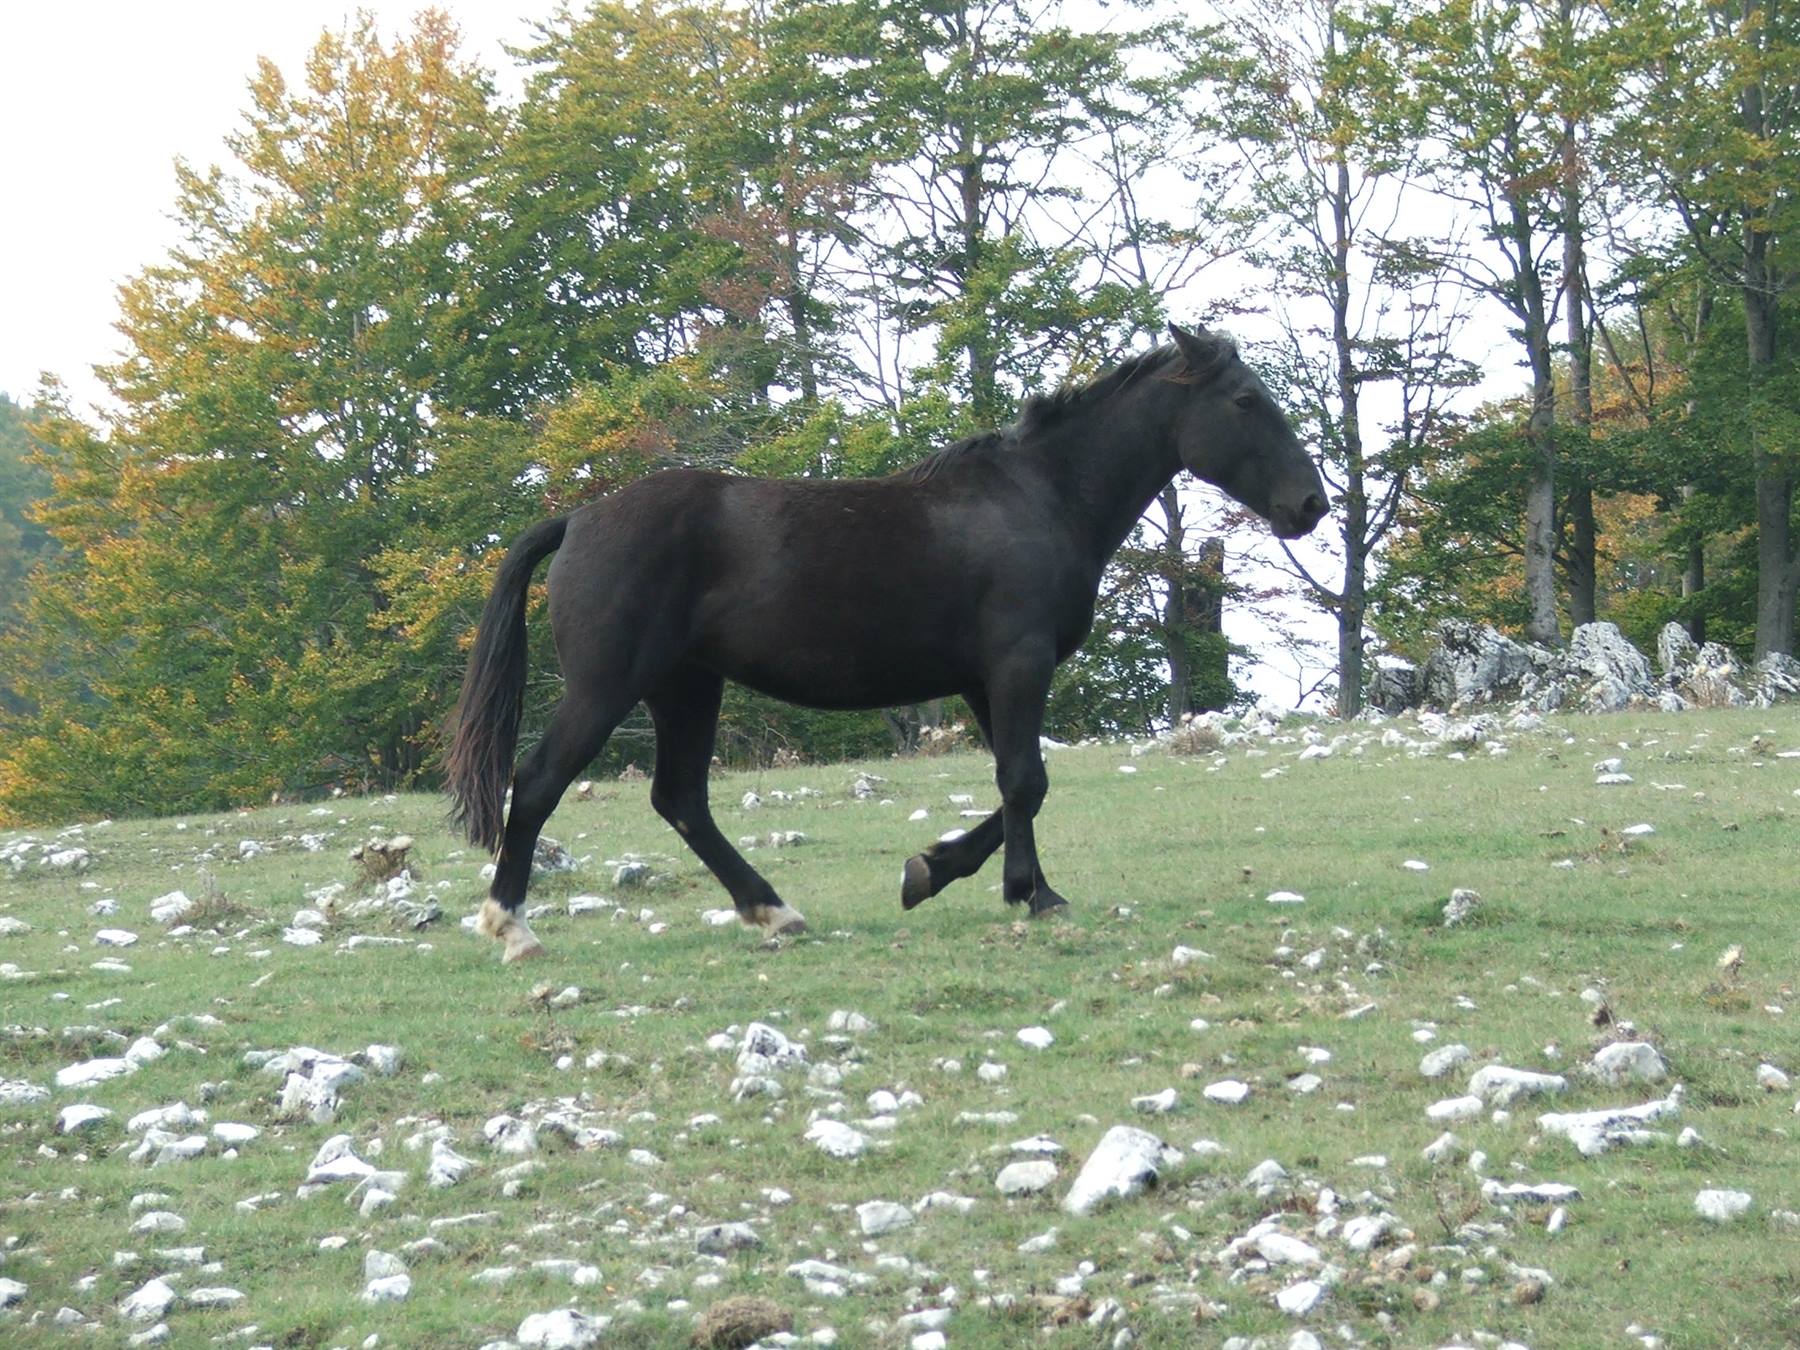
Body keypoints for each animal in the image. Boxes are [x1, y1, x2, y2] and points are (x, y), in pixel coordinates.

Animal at [446, 324, 1328, 961]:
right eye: (1246, 400)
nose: (1311, 504)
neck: (1038, 499)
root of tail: (580, 517)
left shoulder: (985, 680)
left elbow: (1018, 786)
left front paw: (939, 871)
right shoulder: (1018, 665)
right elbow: (1026, 781)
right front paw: (1027, 894)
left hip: (686, 687)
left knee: (682, 800)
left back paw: (773, 911)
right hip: (609, 687)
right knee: (540, 782)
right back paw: (512, 925)